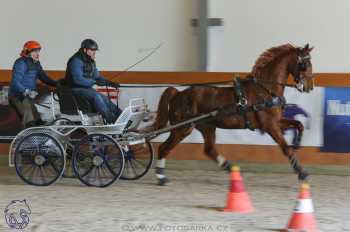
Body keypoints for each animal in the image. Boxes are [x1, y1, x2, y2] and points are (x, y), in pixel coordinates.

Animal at [152, 43, 314, 185]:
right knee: (164, 148)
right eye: (305, 64)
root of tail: (178, 94)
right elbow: (285, 148)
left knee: (209, 149)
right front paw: (302, 173)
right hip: (183, 128)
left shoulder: (276, 121)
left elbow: (298, 124)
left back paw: (230, 169)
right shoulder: (269, 125)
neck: (265, 90)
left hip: (206, 126)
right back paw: (161, 177)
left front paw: (298, 143)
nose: (309, 87)